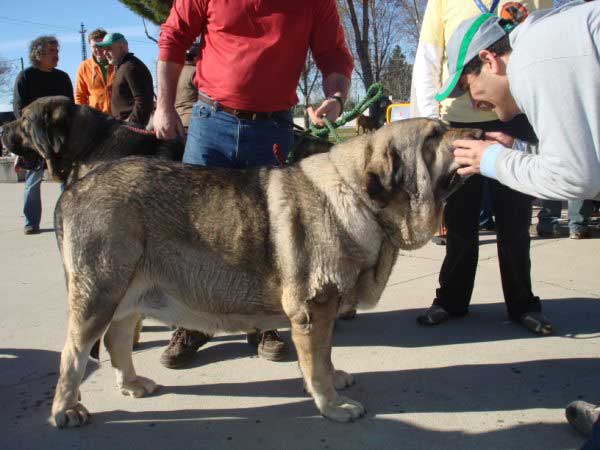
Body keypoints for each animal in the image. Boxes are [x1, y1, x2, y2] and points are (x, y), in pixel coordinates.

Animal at [51, 117, 482, 426]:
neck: (360, 197)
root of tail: (73, 189)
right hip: (100, 295)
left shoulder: (322, 315)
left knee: (117, 340)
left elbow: (324, 356)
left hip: (129, 295)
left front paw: (332, 378)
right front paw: (332, 405)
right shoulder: (314, 310)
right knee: (74, 353)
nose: (479, 131)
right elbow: (316, 365)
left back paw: (131, 383)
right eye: (434, 136)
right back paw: (66, 410)